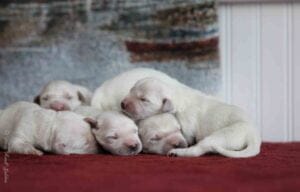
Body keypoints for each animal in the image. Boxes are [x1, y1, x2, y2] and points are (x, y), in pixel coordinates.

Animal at [120, 77, 262, 158]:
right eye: (131, 90)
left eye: (144, 100)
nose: (122, 104)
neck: (176, 96)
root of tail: (254, 136)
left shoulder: (186, 126)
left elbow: (187, 137)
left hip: (226, 135)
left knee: (197, 150)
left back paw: (178, 152)